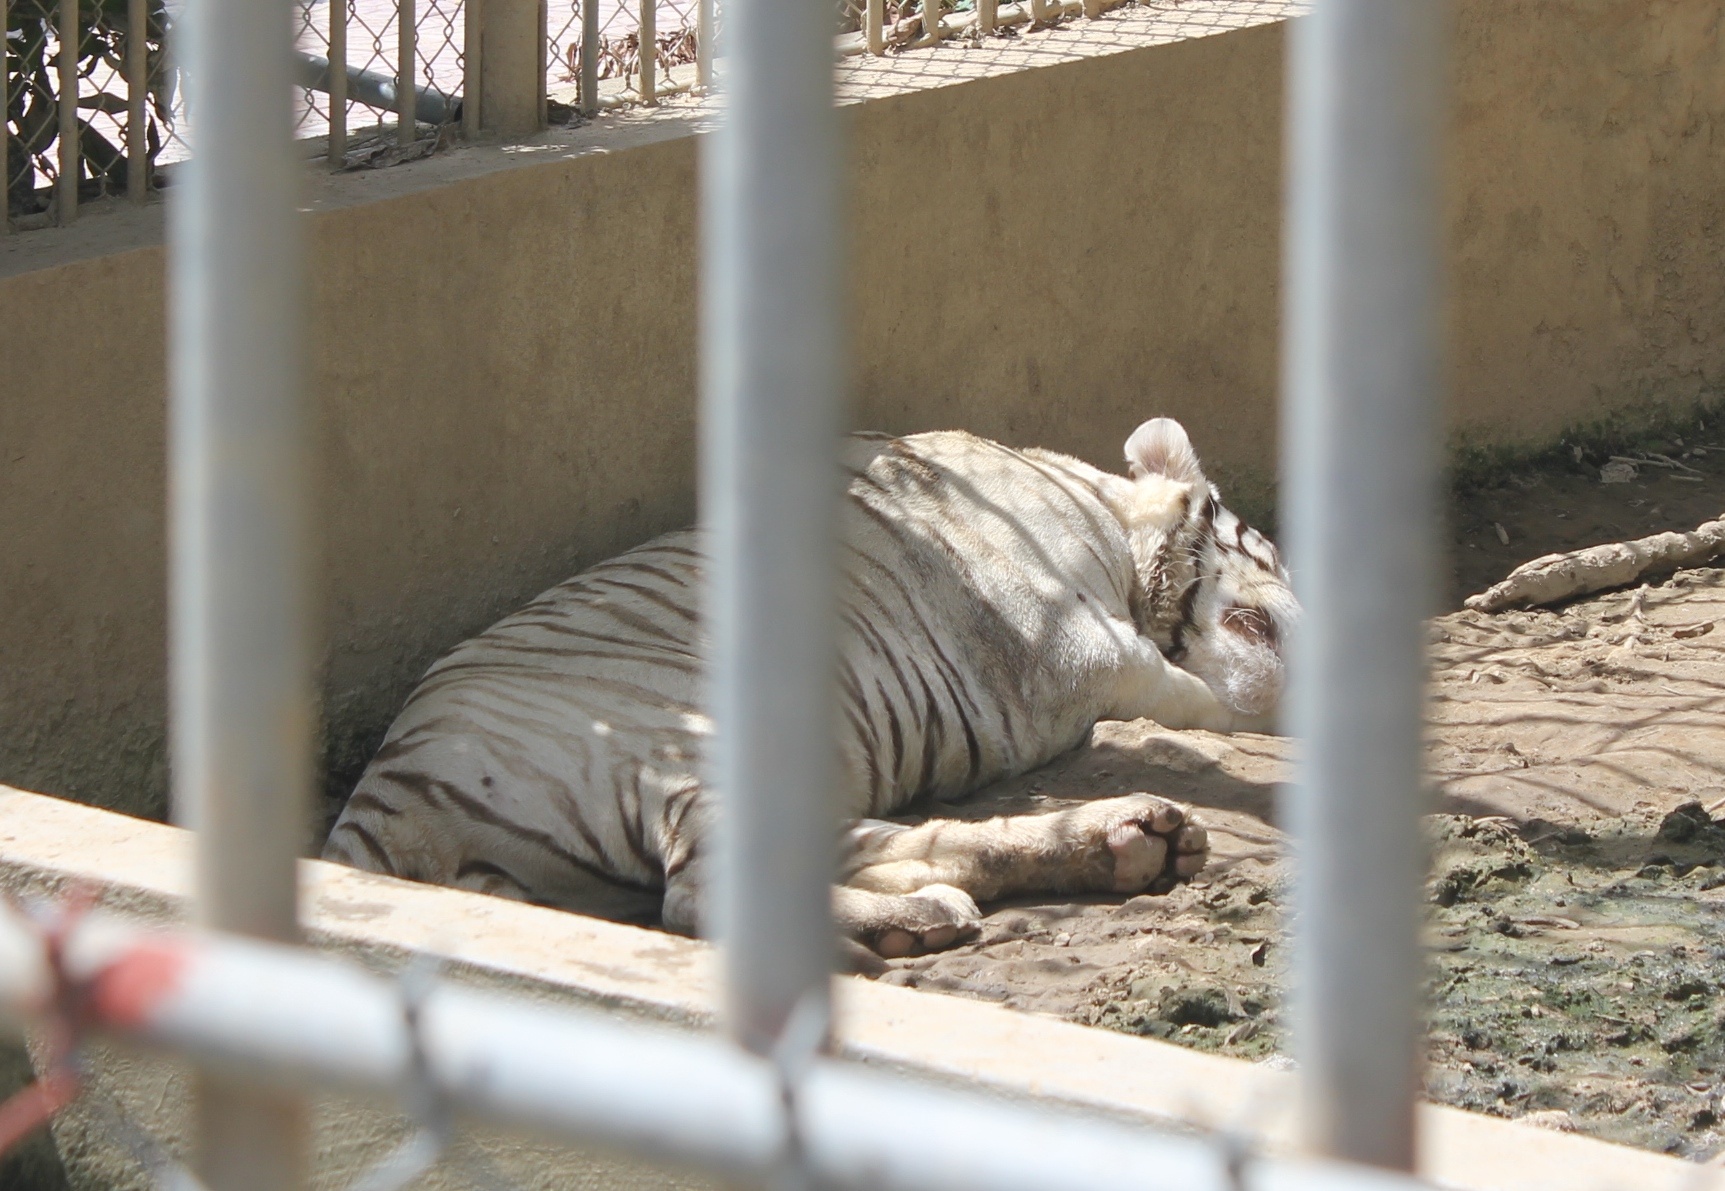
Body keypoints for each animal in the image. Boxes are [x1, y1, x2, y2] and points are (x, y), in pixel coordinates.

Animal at [322, 418, 1298, 959]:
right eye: (1277, 557)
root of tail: (378, 810)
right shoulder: (1071, 645)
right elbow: (1208, 696)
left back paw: (1105, 851)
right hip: (677, 742)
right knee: (700, 893)